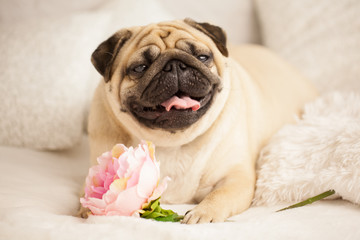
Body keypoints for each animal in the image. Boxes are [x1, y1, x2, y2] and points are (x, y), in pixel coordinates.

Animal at [83, 18, 318, 223]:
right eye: (140, 68)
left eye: (203, 57)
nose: (174, 65)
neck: (173, 143)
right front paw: (87, 209)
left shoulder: (236, 177)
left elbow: (219, 195)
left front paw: (203, 213)